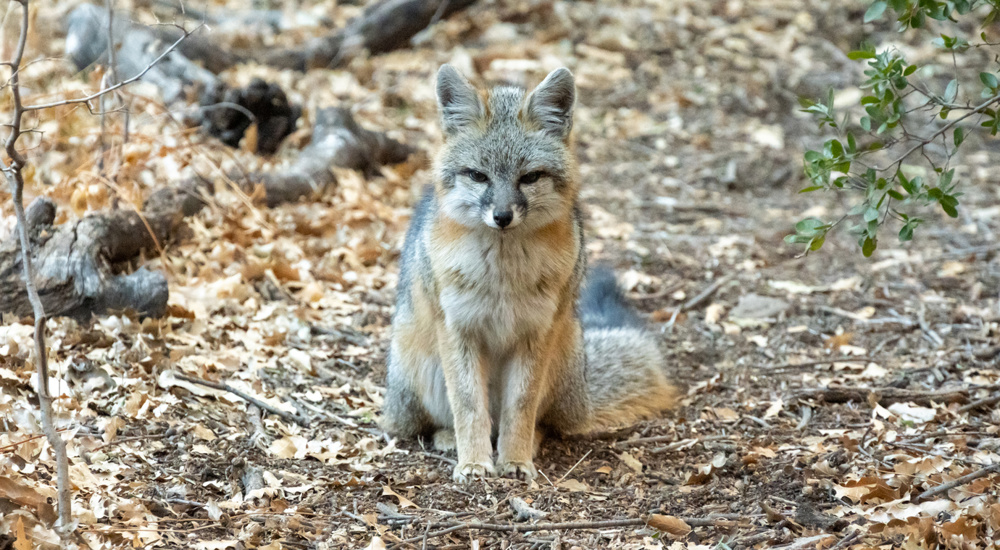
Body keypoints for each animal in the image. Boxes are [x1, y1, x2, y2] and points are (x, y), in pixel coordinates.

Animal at [380, 64, 678, 482]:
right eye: (478, 176)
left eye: (530, 177)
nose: (502, 216)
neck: (504, 275)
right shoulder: (458, 329)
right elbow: (468, 405)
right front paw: (474, 463)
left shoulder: (536, 332)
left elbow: (521, 406)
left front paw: (516, 460)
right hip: (421, 371)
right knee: (444, 419)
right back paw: (450, 439)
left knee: (537, 421)